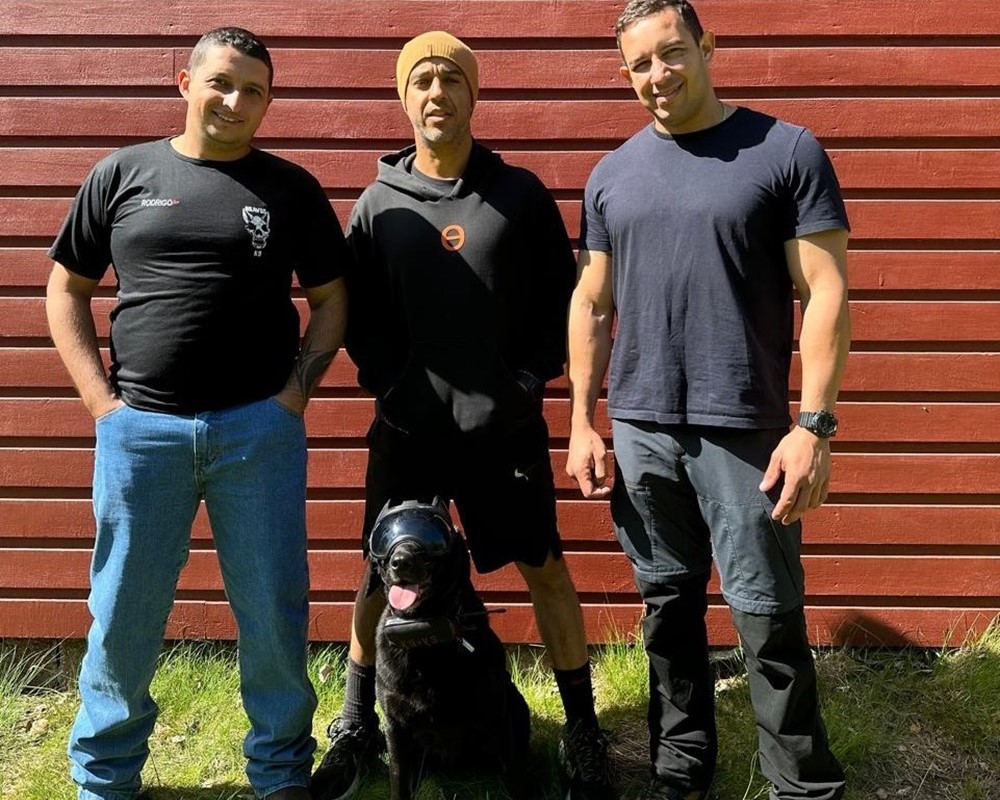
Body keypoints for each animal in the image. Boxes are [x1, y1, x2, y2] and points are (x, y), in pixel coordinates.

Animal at [369, 498, 531, 800]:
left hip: (516, 705)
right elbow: (399, 778)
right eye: (386, 538)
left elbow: (514, 774)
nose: (400, 561)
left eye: (431, 536)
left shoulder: (497, 717)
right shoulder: (396, 728)